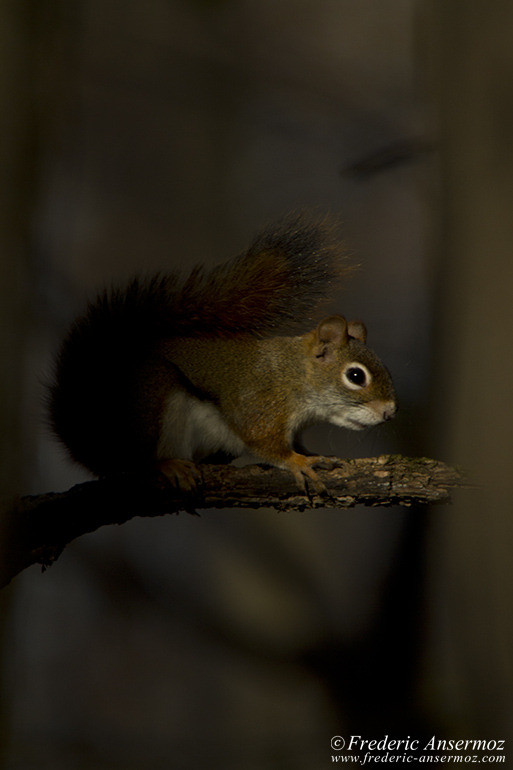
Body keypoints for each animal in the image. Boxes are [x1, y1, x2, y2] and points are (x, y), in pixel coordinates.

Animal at [50, 213, 396, 496]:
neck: (293, 376)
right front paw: (298, 461)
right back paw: (166, 465)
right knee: (138, 461)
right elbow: (264, 443)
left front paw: (310, 455)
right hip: (152, 399)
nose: (389, 413)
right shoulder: (260, 406)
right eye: (355, 376)